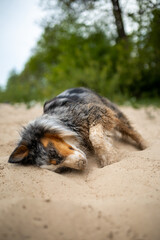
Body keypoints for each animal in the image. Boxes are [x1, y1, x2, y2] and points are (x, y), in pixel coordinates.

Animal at [8, 88, 147, 172]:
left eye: (53, 152)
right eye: (61, 169)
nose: (82, 164)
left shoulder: (97, 110)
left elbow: (95, 137)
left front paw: (109, 159)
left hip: (113, 111)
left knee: (130, 130)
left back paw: (145, 146)